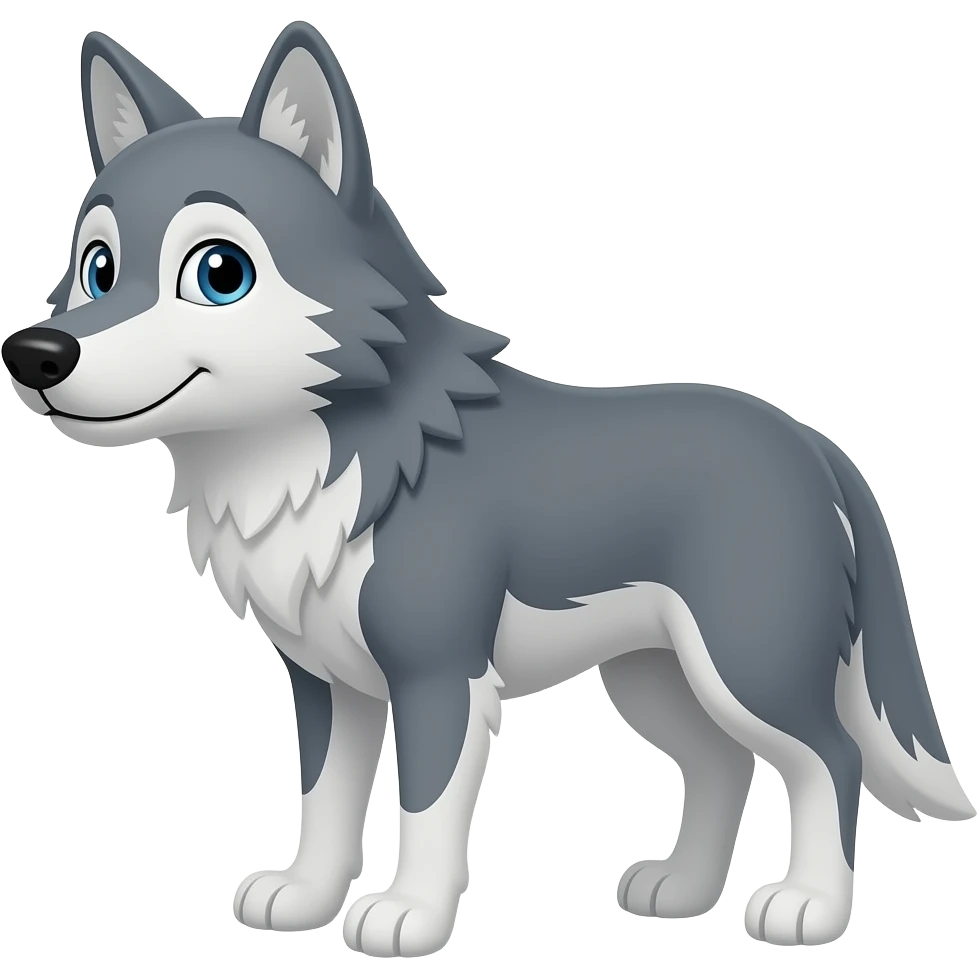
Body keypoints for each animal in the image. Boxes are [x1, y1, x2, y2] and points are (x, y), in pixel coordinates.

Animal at [3, 21, 972, 956]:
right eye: (95, 267)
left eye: (218, 274)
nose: (36, 353)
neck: (319, 460)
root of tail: (812, 440)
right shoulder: (326, 683)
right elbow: (323, 802)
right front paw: (305, 898)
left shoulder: (440, 675)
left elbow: (423, 811)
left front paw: (407, 917)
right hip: (654, 677)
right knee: (718, 764)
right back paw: (681, 890)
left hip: (744, 663)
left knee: (829, 758)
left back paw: (809, 908)